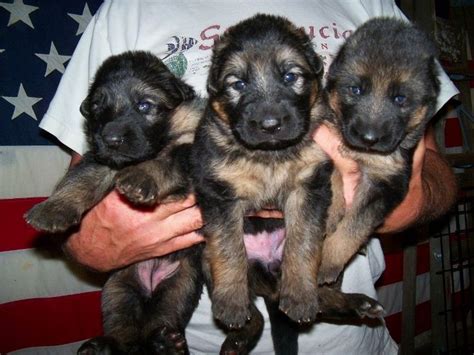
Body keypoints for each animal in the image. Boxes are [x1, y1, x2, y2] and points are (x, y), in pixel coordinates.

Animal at [25, 51, 204, 354]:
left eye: (145, 105)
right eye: (97, 107)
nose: (110, 138)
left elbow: (170, 159)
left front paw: (142, 177)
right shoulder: (101, 159)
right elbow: (80, 180)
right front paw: (53, 210)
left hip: (181, 285)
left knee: (164, 317)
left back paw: (164, 342)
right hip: (118, 288)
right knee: (124, 331)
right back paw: (105, 345)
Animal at [191, 14, 384, 355]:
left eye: (290, 76)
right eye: (238, 84)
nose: (269, 125)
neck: (270, 155)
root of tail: (269, 284)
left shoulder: (309, 186)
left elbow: (303, 242)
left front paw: (299, 297)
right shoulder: (219, 193)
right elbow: (227, 247)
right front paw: (231, 303)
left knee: (322, 297)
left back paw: (354, 303)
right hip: (204, 260)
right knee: (254, 314)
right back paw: (237, 334)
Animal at [316, 17, 442, 286]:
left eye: (400, 99)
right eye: (355, 90)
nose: (369, 138)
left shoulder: (385, 185)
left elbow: (354, 228)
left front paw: (328, 262)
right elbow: (333, 178)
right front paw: (331, 213)